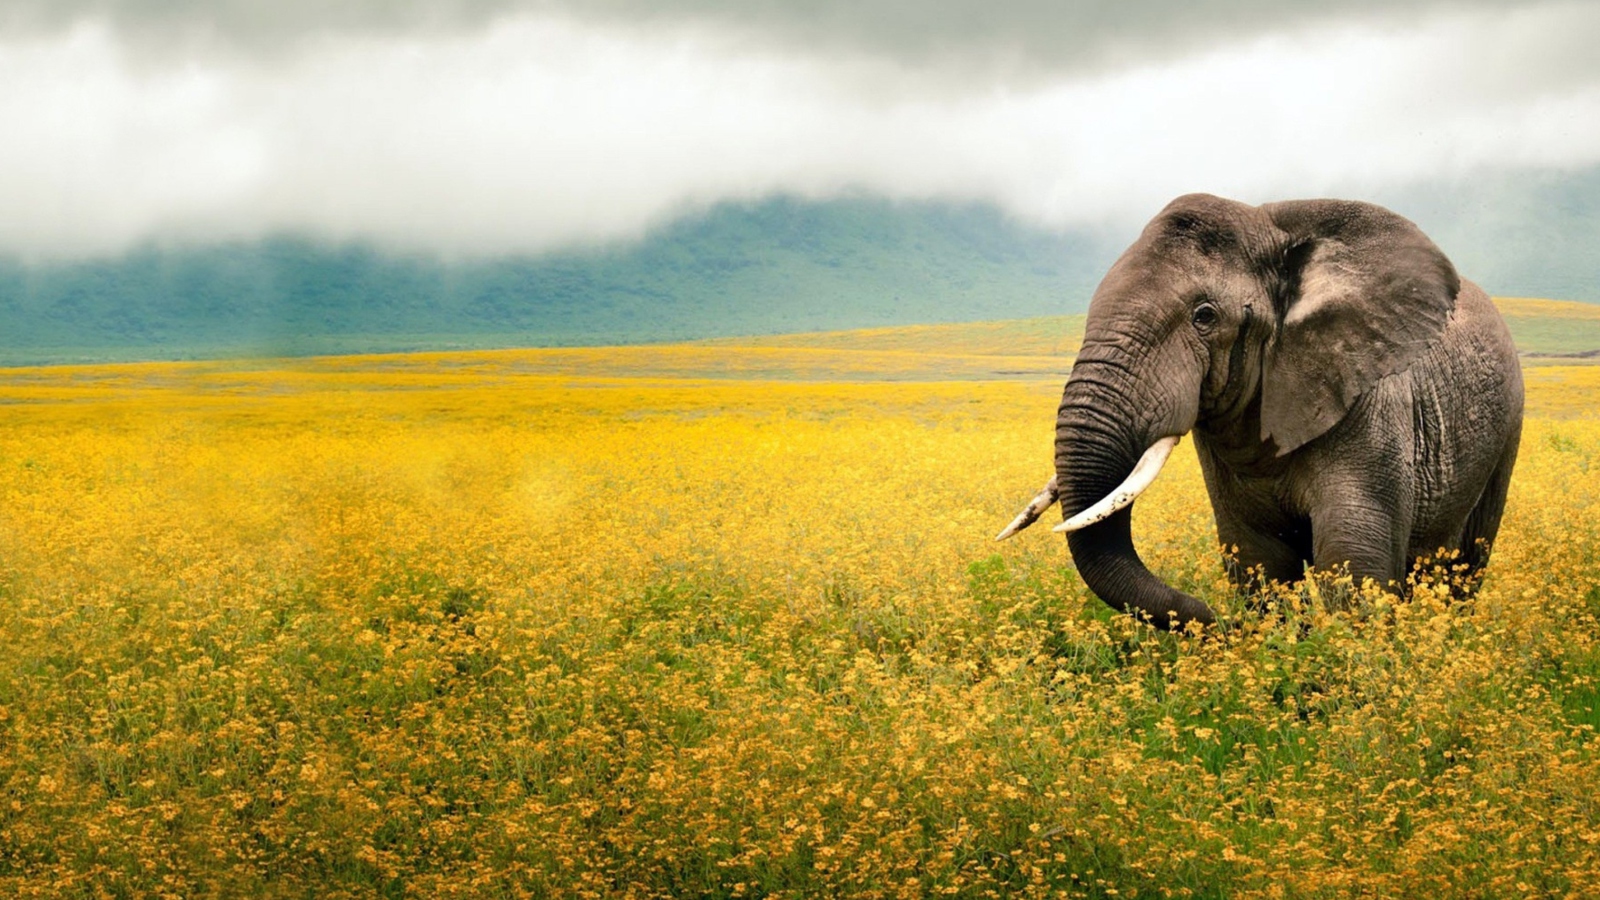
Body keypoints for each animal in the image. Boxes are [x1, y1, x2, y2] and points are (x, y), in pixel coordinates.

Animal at [998, 194, 1523, 630]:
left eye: (1204, 316)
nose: (1213, 619)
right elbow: (1259, 559)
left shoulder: (1372, 403)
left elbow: (1353, 561)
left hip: (1506, 431)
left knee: (1465, 564)